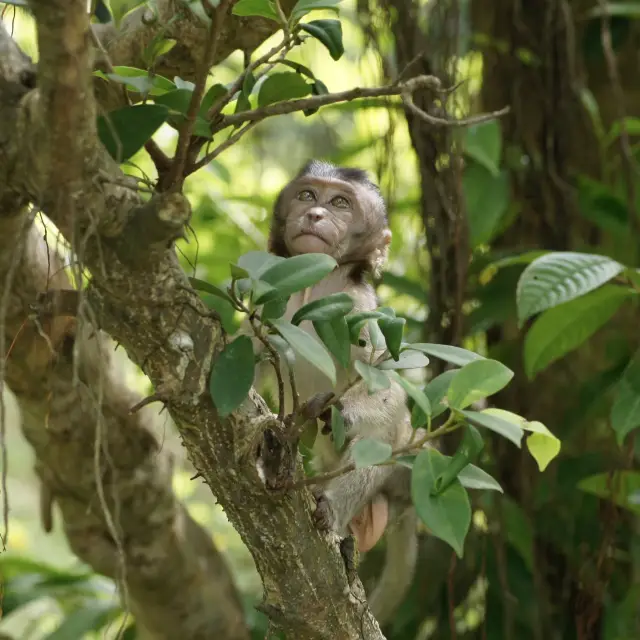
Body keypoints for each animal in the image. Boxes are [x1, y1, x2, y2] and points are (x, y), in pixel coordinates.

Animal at [258, 160, 422, 624]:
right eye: (307, 195)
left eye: (340, 203)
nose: (315, 215)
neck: (313, 285)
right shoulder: (269, 293)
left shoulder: (356, 307)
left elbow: (387, 393)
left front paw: (344, 413)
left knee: (382, 441)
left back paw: (328, 509)